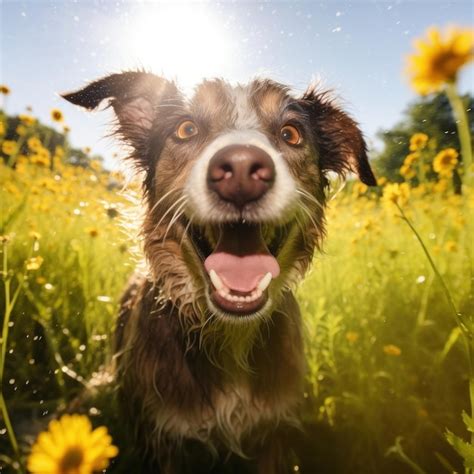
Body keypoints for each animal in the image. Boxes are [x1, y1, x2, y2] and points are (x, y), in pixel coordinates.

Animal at [62, 71, 374, 474]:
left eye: (291, 134)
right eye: (186, 129)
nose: (241, 169)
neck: (228, 335)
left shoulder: (272, 432)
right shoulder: (160, 439)